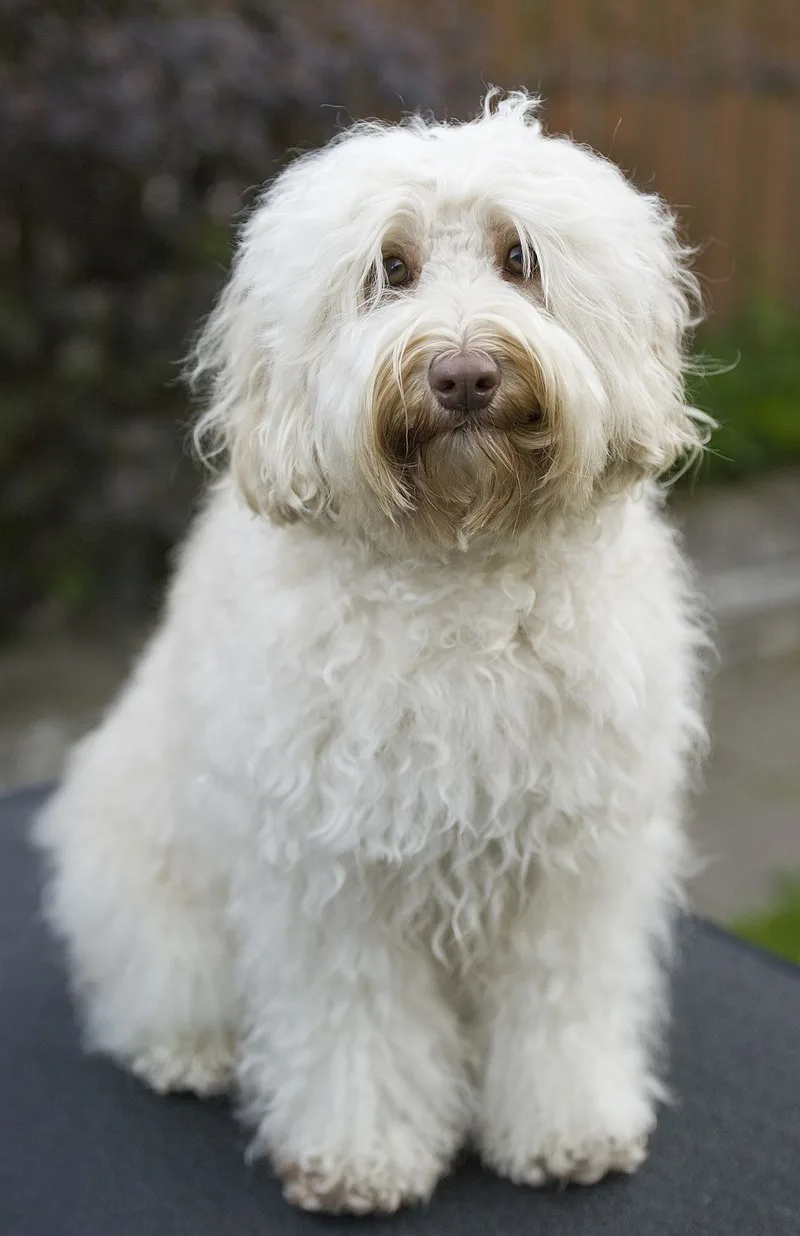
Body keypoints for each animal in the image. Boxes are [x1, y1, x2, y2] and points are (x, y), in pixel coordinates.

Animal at [34, 91, 712, 1211]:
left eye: (518, 257)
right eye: (388, 269)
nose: (465, 373)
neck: (458, 566)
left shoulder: (571, 871)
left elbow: (558, 1006)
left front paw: (566, 1128)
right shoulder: (334, 876)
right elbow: (357, 1023)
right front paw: (361, 1156)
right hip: (151, 889)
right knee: (153, 987)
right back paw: (191, 1050)